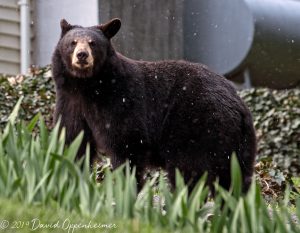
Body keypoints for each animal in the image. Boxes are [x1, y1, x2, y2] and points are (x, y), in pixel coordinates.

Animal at [51, 18, 255, 192]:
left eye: (93, 43)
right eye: (73, 42)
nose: (82, 55)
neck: (89, 87)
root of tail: (239, 105)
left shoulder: (120, 103)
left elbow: (126, 145)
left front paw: (127, 188)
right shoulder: (71, 102)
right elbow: (72, 139)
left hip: (198, 128)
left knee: (189, 171)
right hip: (237, 144)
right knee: (234, 177)